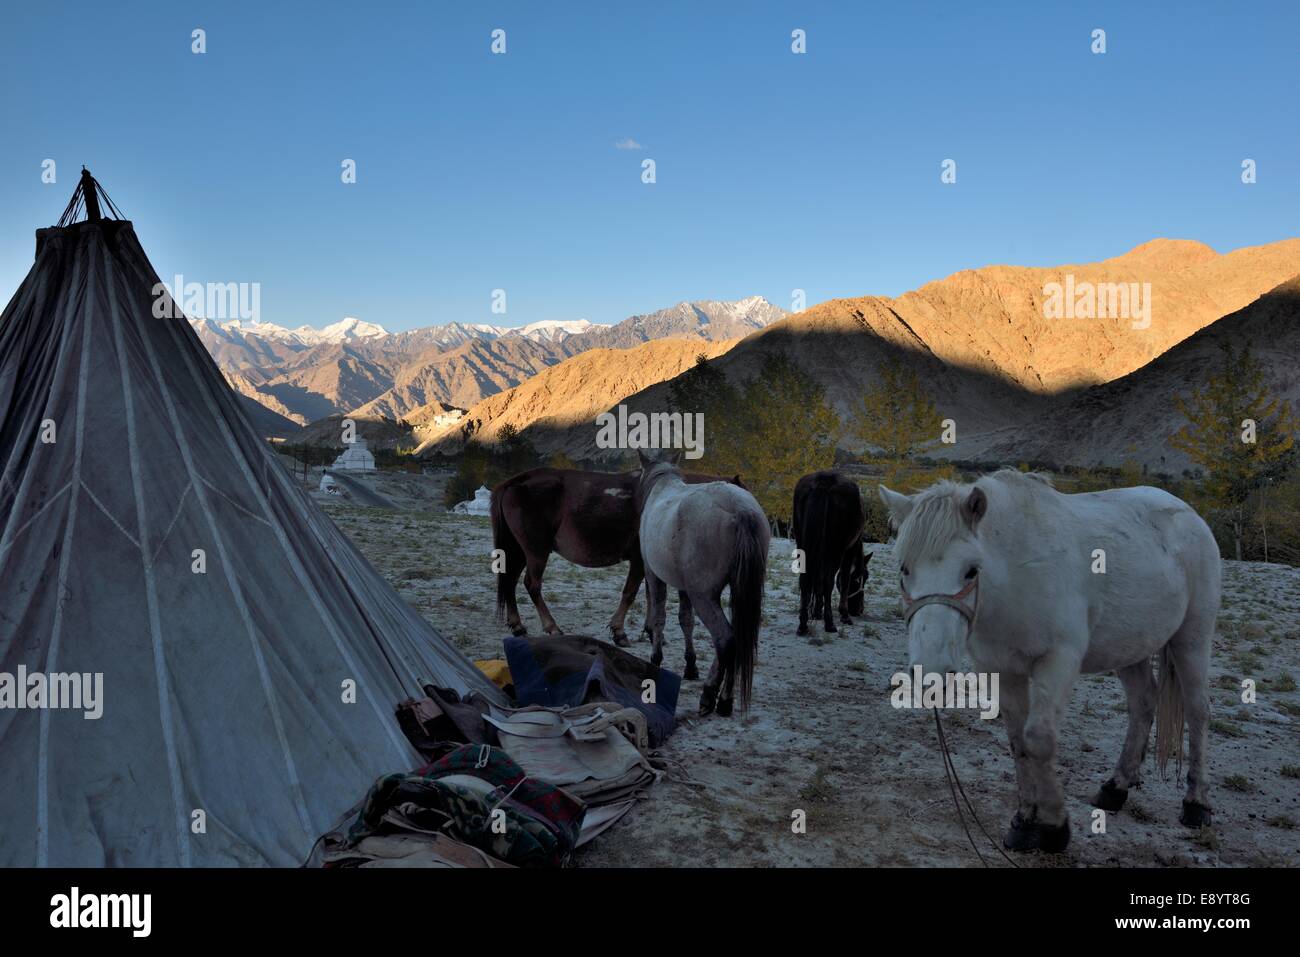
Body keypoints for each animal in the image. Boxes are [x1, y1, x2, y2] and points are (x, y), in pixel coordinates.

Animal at [491, 465, 743, 657]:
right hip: (536, 550)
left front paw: (651, 631)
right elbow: (631, 593)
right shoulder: (639, 561)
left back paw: (518, 626)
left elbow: (651, 596)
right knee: (531, 585)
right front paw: (620, 633)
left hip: (519, 550)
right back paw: (552, 627)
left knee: (510, 582)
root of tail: (518, 480)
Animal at [634, 452, 764, 712]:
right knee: (733, 640)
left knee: (725, 640)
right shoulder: (685, 587)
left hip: (703, 596)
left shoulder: (653, 575)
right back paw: (720, 696)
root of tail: (740, 509)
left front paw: (656, 659)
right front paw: (690, 665)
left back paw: (714, 696)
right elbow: (686, 620)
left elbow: (659, 616)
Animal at [790, 470, 873, 634]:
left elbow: (817, 579)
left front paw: (816, 612)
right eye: (862, 578)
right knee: (828, 581)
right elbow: (844, 579)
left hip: (803, 542)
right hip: (836, 549)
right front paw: (844, 614)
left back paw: (803, 624)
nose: (859, 610)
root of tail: (824, 481)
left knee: (805, 579)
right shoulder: (849, 550)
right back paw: (830, 623)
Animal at [878, 470, 1222, 852]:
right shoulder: (1001, 669)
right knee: (1143, 702)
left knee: (1197, 709)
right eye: (904, 568)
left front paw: (1055, 827)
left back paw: (1196, 803)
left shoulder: (1058, 662)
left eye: (971, 570)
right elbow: (1018, 743)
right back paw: (1115, 788)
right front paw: (1025, 821)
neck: (1015, 574)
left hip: (1192, 638)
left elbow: (1038, 740)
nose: (932, 673)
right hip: (1131, 646)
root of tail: (1188, 513)